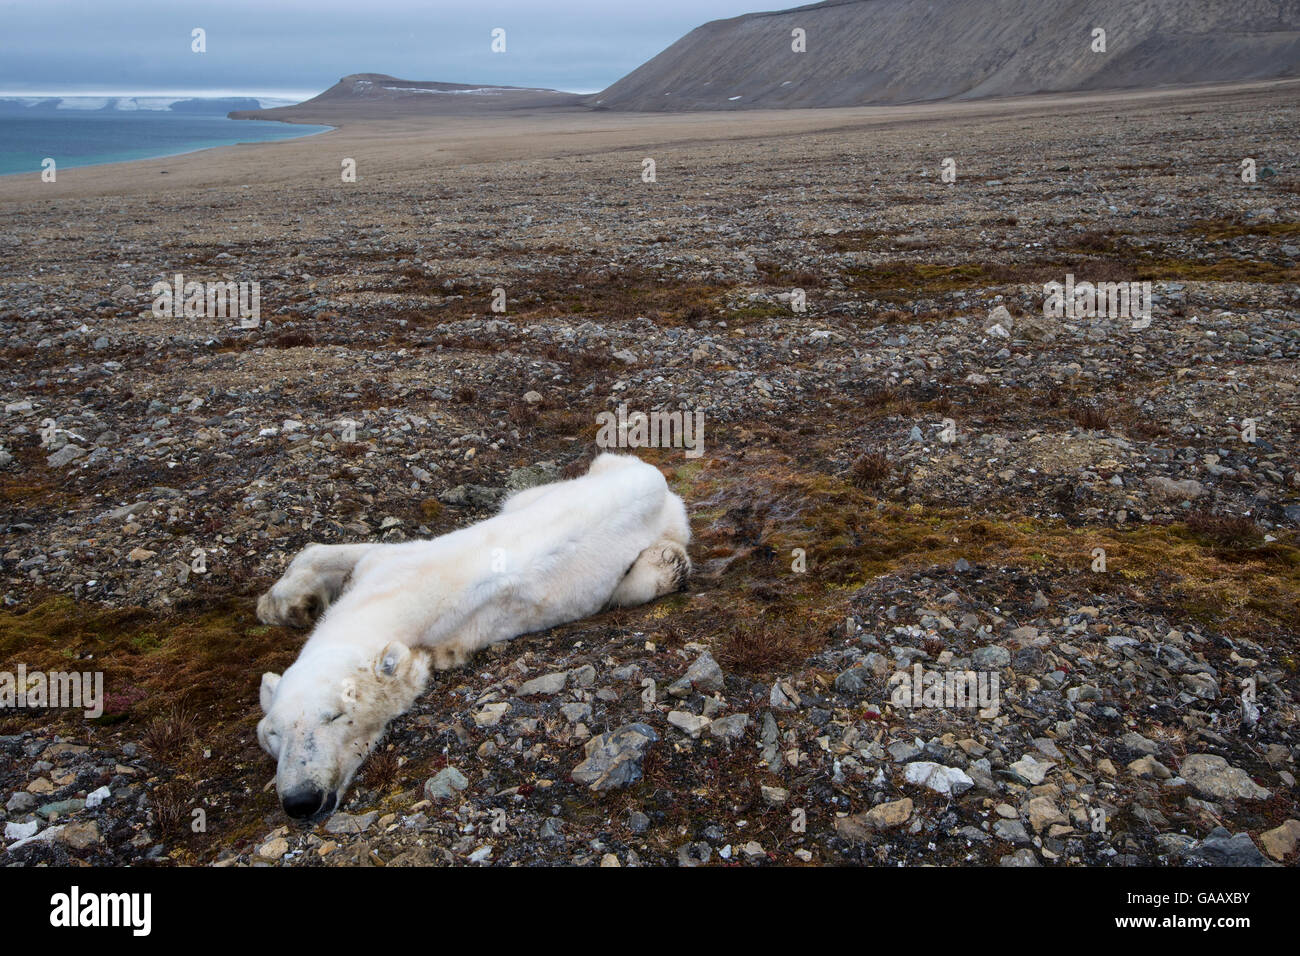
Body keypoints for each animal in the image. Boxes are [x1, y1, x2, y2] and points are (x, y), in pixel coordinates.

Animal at [255, 453, 690, 820]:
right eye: (273, 733)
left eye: (336, 715)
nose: (300, 800)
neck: (381, 607)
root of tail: (650, 475)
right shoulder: (386, 569)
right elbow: (333, 554)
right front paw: (284, 605)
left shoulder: (423, 612)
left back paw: (669, 566)